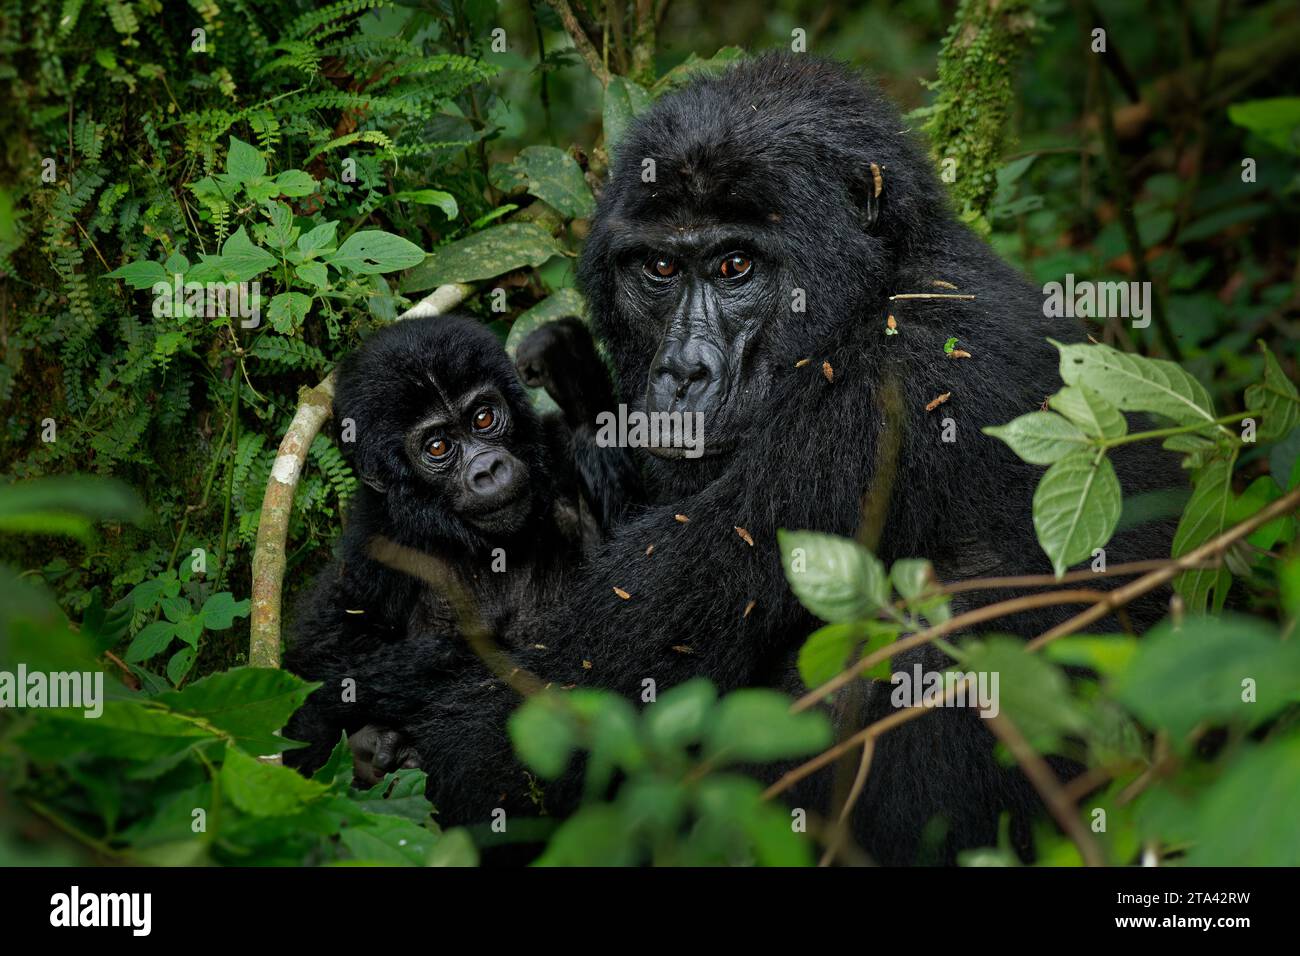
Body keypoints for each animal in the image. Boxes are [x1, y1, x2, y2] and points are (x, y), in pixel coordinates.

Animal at [284, 314, 634, 785]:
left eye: (483, 418)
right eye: (437, 446)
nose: (488, 469)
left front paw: (574, 380)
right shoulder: (371, 545)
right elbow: (320, 662)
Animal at [366, 54, 1170, 868]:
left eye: (735, 266)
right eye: (660, 267)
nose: (681, 374)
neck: (879, 288)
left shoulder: (870, 414)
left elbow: (528, 734)